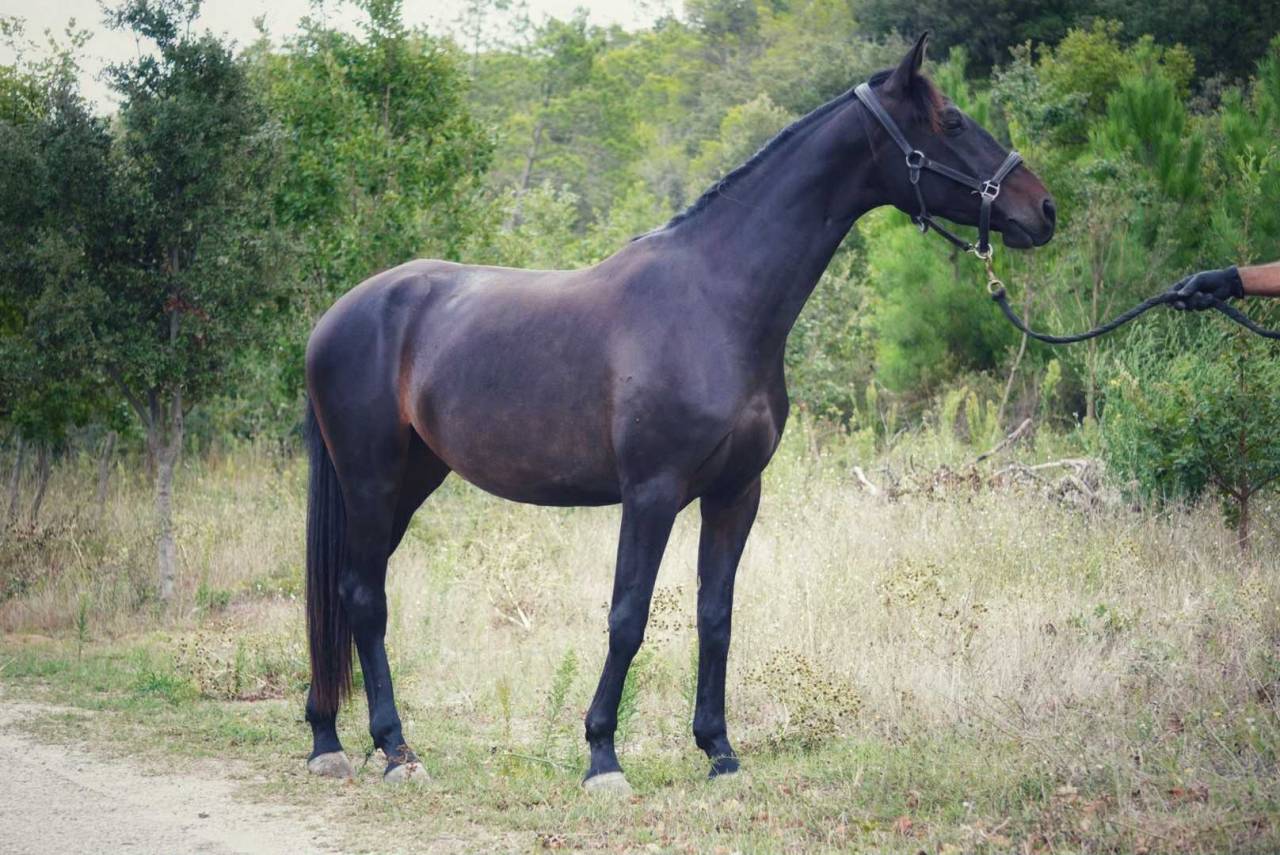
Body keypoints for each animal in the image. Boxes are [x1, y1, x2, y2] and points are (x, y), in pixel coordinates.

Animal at [301, 33, 1057, 793]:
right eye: (952, 121)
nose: (1044, 209)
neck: (716, 301)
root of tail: (336, 317)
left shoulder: (735, 494)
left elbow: (715, 615)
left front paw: (718, 749)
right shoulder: (652, 493)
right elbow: (628, 616)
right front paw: (602, 757)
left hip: (410, 479)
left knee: (348, 589)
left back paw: (328, 738)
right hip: (370, 479)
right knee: (364, 596)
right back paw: (395, 748)